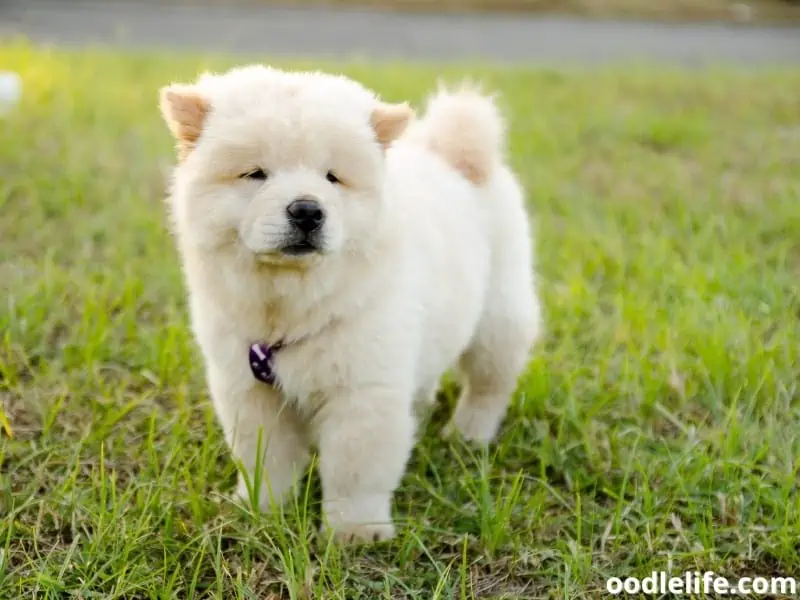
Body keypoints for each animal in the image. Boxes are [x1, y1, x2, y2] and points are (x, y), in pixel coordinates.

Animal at [158, 65, 544, 544]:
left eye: (332, 177)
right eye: (256, 174)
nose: (307, 210)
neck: (287, 306)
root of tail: (456, 158)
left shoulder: (362, 389)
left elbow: (355, 470)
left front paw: (354, 532)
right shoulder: (248, 387)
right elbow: (264, 457)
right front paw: (260, 510)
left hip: (496, 320)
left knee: (489, 384)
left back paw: (467, 434)